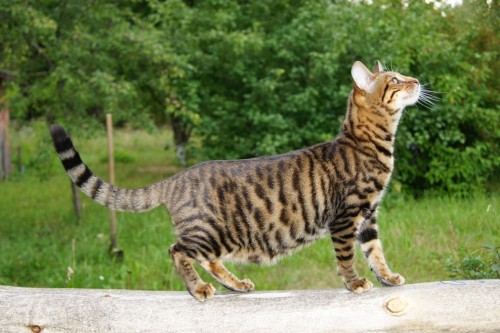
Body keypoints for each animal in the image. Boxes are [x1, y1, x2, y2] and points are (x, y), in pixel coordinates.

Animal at [50, 60, 420, 300]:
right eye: (394, 80)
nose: (416, 81)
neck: (370, 143)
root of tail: (176, 178)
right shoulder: (347, 215)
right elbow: (347, 256)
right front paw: (354, 282)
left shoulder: (369, 215)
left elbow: (375, 252)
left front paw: (388, 278)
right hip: (210, 231)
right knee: (178, 251)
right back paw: (198, 289)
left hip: (220, 237)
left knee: (206, 258)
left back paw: (236, 284)